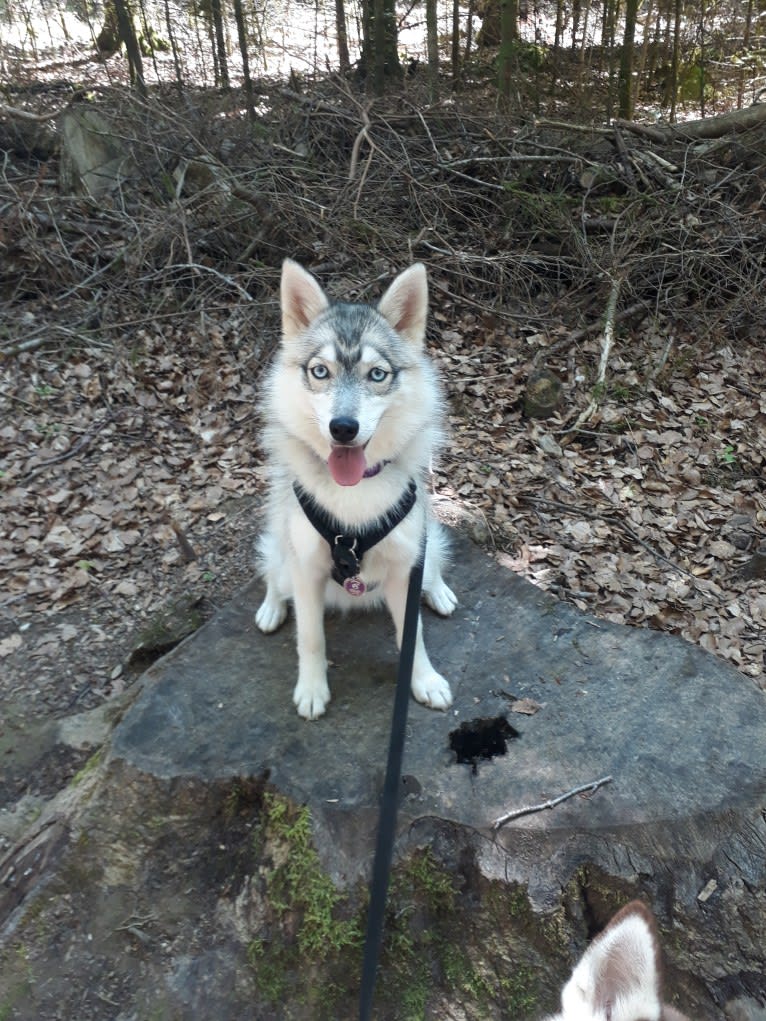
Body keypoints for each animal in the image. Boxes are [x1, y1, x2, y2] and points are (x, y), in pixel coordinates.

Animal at [258, 259, 459, 722]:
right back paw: (271, 607)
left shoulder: (405, 566)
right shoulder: (306, 568)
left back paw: (439, 591)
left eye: (377, 374)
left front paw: (423, 680)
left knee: (433, 564)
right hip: (283, 556)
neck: (353, 497)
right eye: (320, 371)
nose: (343, 428)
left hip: (423, 547)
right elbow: (310, 637)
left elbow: (413, 637)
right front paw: (312, 689)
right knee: (273, 574)